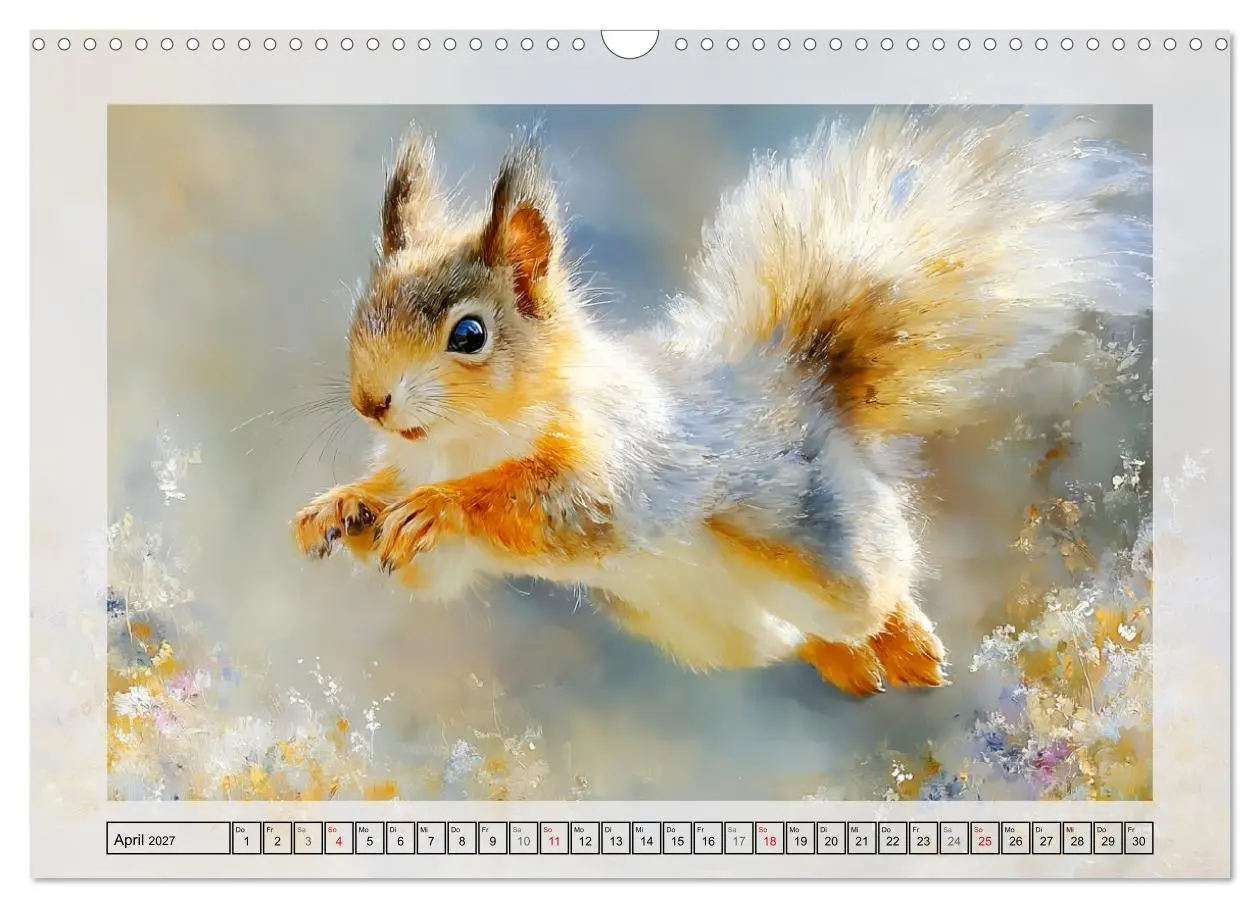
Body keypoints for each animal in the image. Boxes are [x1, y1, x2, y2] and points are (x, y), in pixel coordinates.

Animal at [293, 107, 1148, 697]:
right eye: (363, 311)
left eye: (469, 334)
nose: (371, 402)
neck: (465, 439)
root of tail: (803, 392)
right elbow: (421, 546)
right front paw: (343, 505)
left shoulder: (623, 462)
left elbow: (556, 505)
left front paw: (439, 506)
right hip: (708, 626)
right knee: (794, 636)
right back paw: (850, 663)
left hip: (829, 548)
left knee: (879, 585)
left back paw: (905, 642)